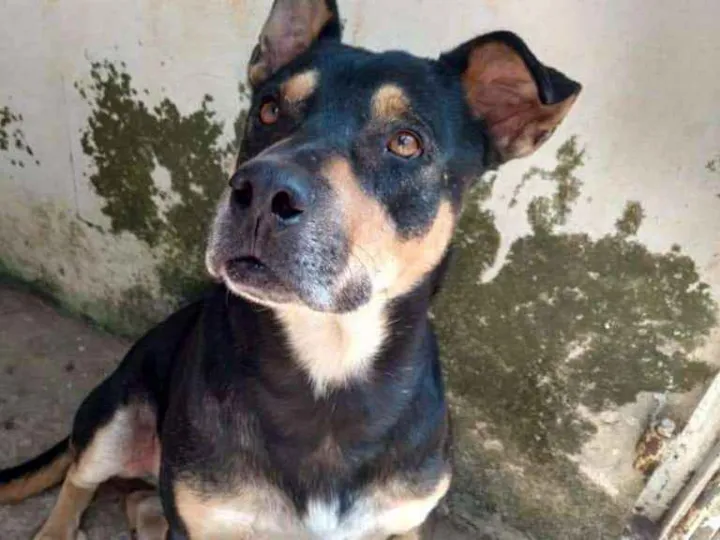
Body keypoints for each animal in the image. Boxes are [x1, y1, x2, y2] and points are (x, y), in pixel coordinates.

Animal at [0, 1, 580, 538]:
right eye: (269, 109)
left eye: (406, 142)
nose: (260, 193)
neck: (328, 368)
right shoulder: (203, 515)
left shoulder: (403, 520)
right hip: (117, 417)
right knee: (79, 480)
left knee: (138, 502)